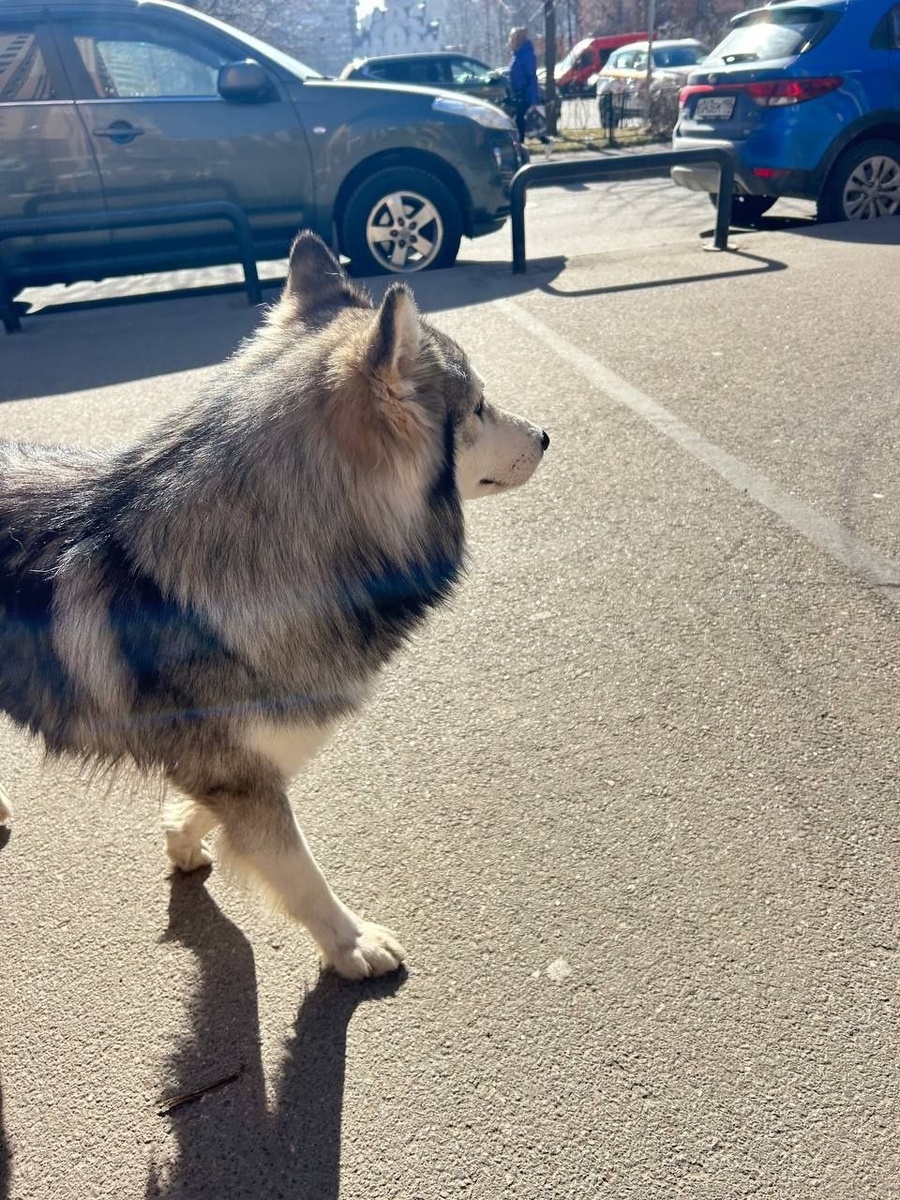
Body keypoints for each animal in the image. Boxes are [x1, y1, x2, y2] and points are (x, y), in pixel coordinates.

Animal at [0, 232, 548, 979]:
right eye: (481, 406)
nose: (547, 436)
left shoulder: (246, 756)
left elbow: (223, 806)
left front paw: (180, 833)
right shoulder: (241, 769)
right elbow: (298, 869)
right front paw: (349, 943)